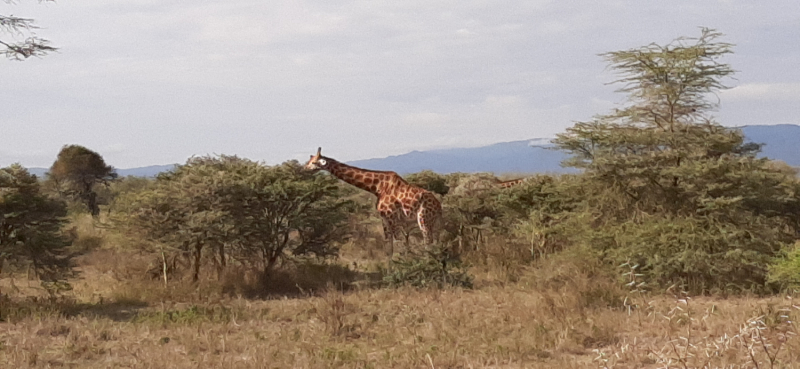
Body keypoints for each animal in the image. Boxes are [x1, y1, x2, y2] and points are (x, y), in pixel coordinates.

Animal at [304, 147, 444, 256]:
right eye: (309, 161)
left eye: (313, 162)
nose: (304, 169)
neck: (377, 187)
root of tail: (438, 206)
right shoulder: (384, 217)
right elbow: (389, 248)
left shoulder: (392, 216)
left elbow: (399, 243)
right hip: (435, 222)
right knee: (435, 242)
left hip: (423, 218)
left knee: (428, 243)